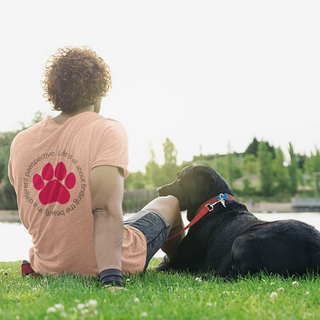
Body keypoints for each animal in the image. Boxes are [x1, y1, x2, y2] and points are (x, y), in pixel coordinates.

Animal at [156, 165, 320, 278]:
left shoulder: (175, 262)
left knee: (238, 276)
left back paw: (203, 277)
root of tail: (314, 248)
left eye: (179, 178)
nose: (158, 189)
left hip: (242, 240)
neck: (214, 206)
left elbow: (159, 266)